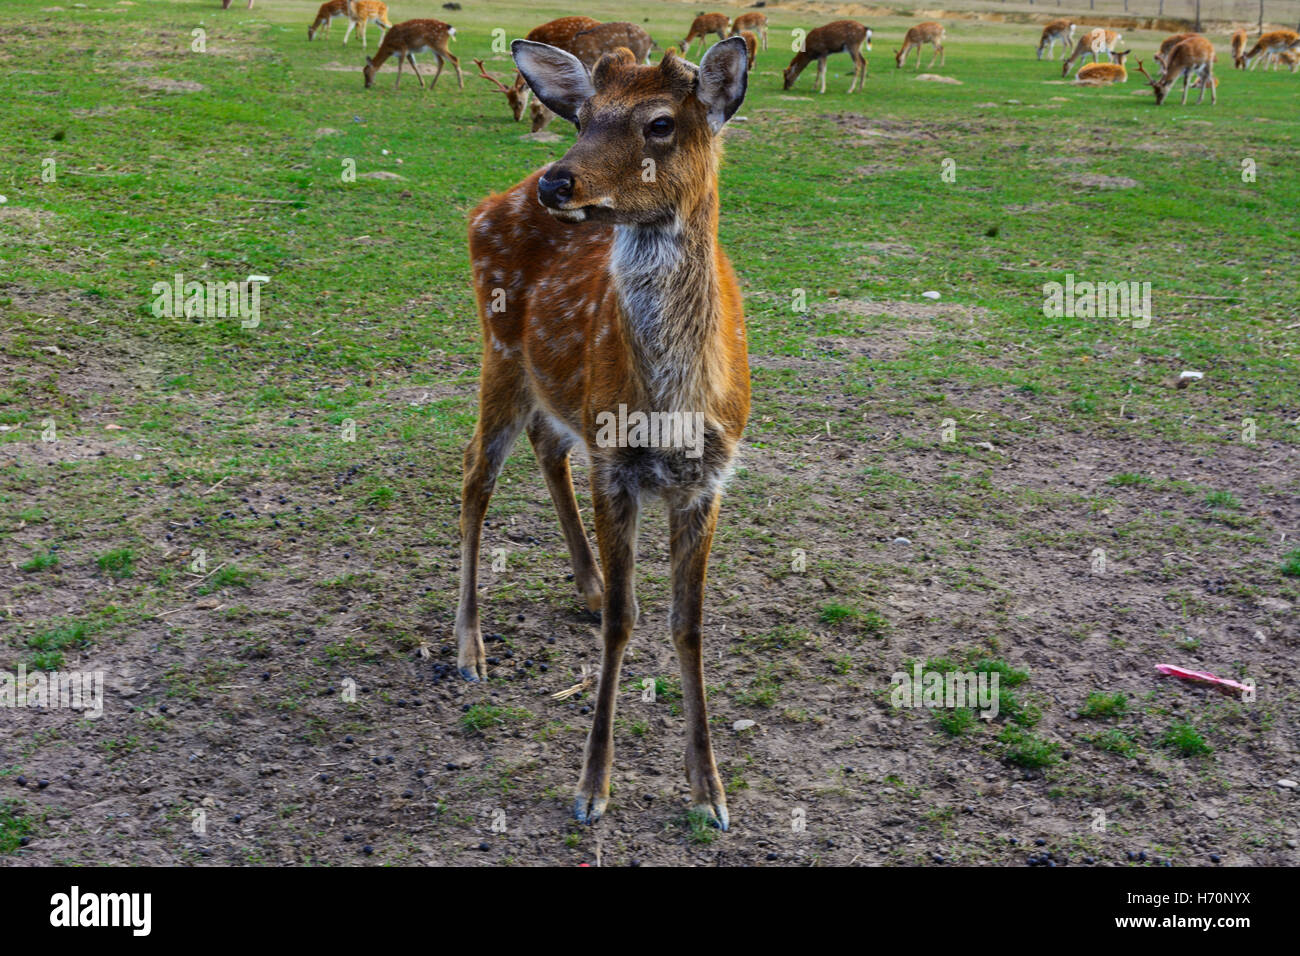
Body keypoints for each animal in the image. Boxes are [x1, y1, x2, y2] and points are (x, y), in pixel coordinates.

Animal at [454, 37, 748, 832]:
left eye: (660, 124)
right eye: (584, 117)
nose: (560, 181)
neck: (674, 405)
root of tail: (489, 203)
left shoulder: (710, 476)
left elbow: (687, 623)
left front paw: (710, 790)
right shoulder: (617, 464)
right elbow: (626, 618)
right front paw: (592, 787)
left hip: (551, 388)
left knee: (548, 444)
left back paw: (583, 581)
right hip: (500, 352)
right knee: (474, 475)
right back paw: (470, 646)